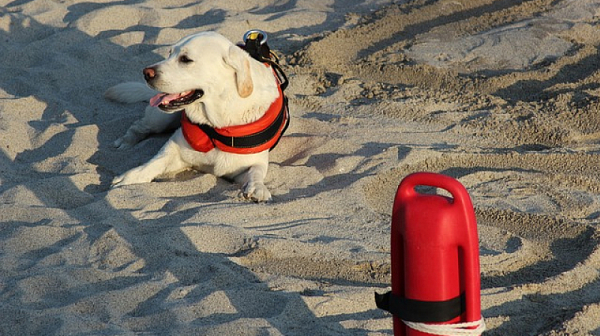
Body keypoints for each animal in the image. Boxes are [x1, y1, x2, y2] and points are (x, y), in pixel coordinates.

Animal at [105, 31, 288, 201]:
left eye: (185, 59)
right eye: (169, 53)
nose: (146, 73)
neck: (217, 123)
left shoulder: (252, 163)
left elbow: (256, 172)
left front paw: (257, 188)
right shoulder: (175, 149)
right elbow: (153, 163)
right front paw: (129, 177)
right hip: (160, 118)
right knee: (140, 126)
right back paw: (126, 141)